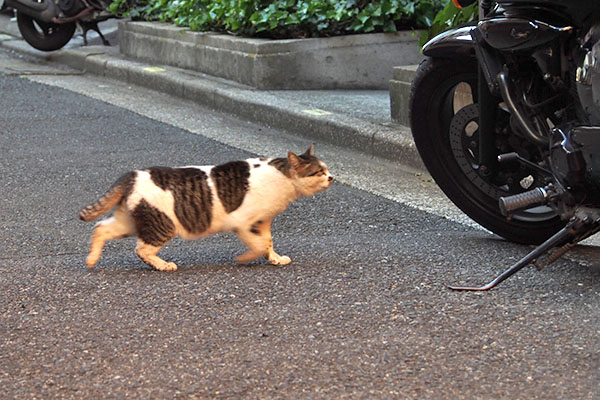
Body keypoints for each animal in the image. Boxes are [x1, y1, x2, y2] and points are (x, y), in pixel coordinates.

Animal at [79, 145, 332, 270]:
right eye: (319, 172)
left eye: (327, 169)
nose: (332, 177)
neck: (283, 177)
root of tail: (131, 175)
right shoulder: (246, 223)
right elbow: (259, 245)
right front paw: (244, 259)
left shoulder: (263, 222)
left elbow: (268, 242)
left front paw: (275, 259)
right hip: (162, 224)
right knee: (142, 249)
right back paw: (164, 265)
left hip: (130, 221)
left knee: (100, 228)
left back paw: (91, 260)